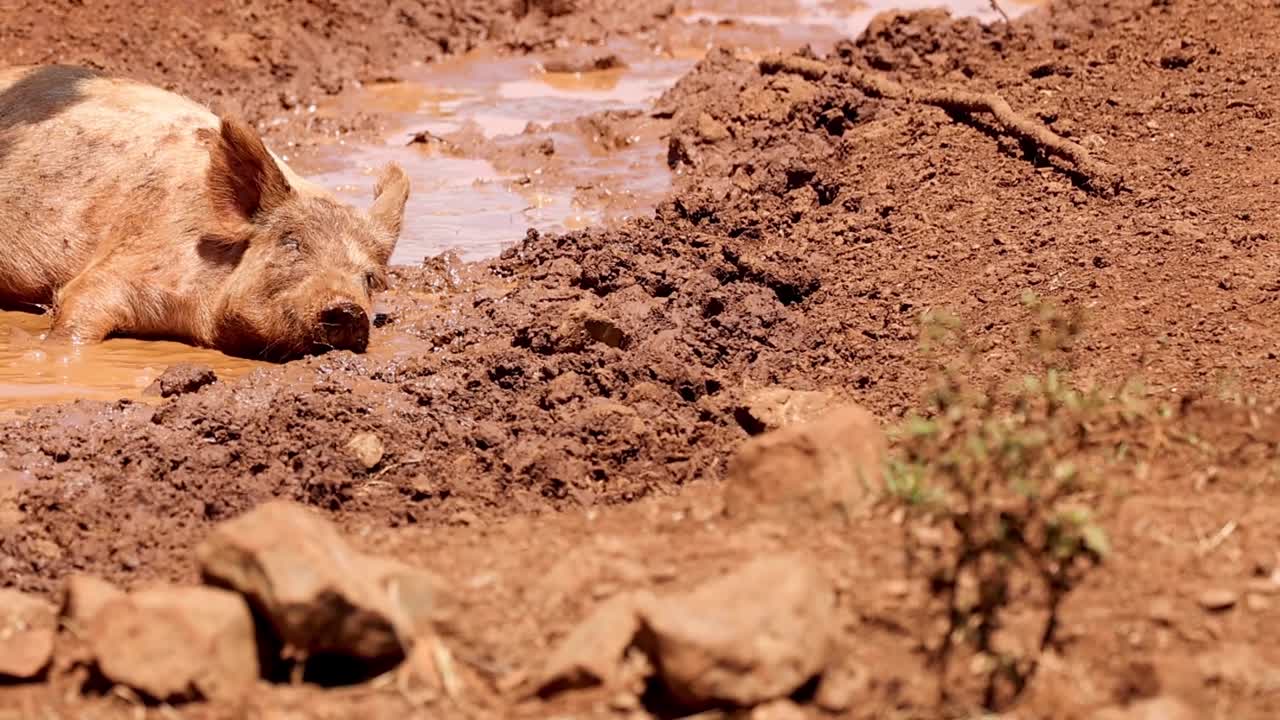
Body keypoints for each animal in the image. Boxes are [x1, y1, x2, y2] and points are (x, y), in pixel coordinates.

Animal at [0, 65, 410, 359]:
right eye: (292, 244)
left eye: (371, 278)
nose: (348, 309)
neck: (200, 320)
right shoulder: (125, 264)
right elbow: (76, 313)